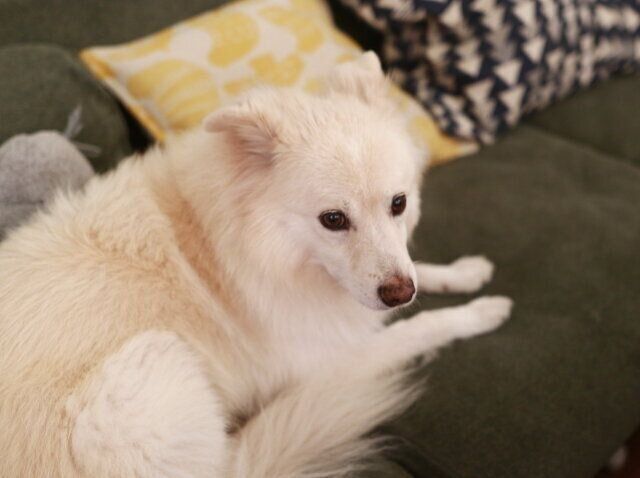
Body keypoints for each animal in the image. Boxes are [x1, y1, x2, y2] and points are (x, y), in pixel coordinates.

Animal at [0, 52, 512, 477]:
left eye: (398, 203)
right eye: (333, 219)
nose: (398, 294)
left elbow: (420, 272)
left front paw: (465, 271)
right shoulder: (334, 358)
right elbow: (420, 327)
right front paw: (481, 312)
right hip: (154, 362)